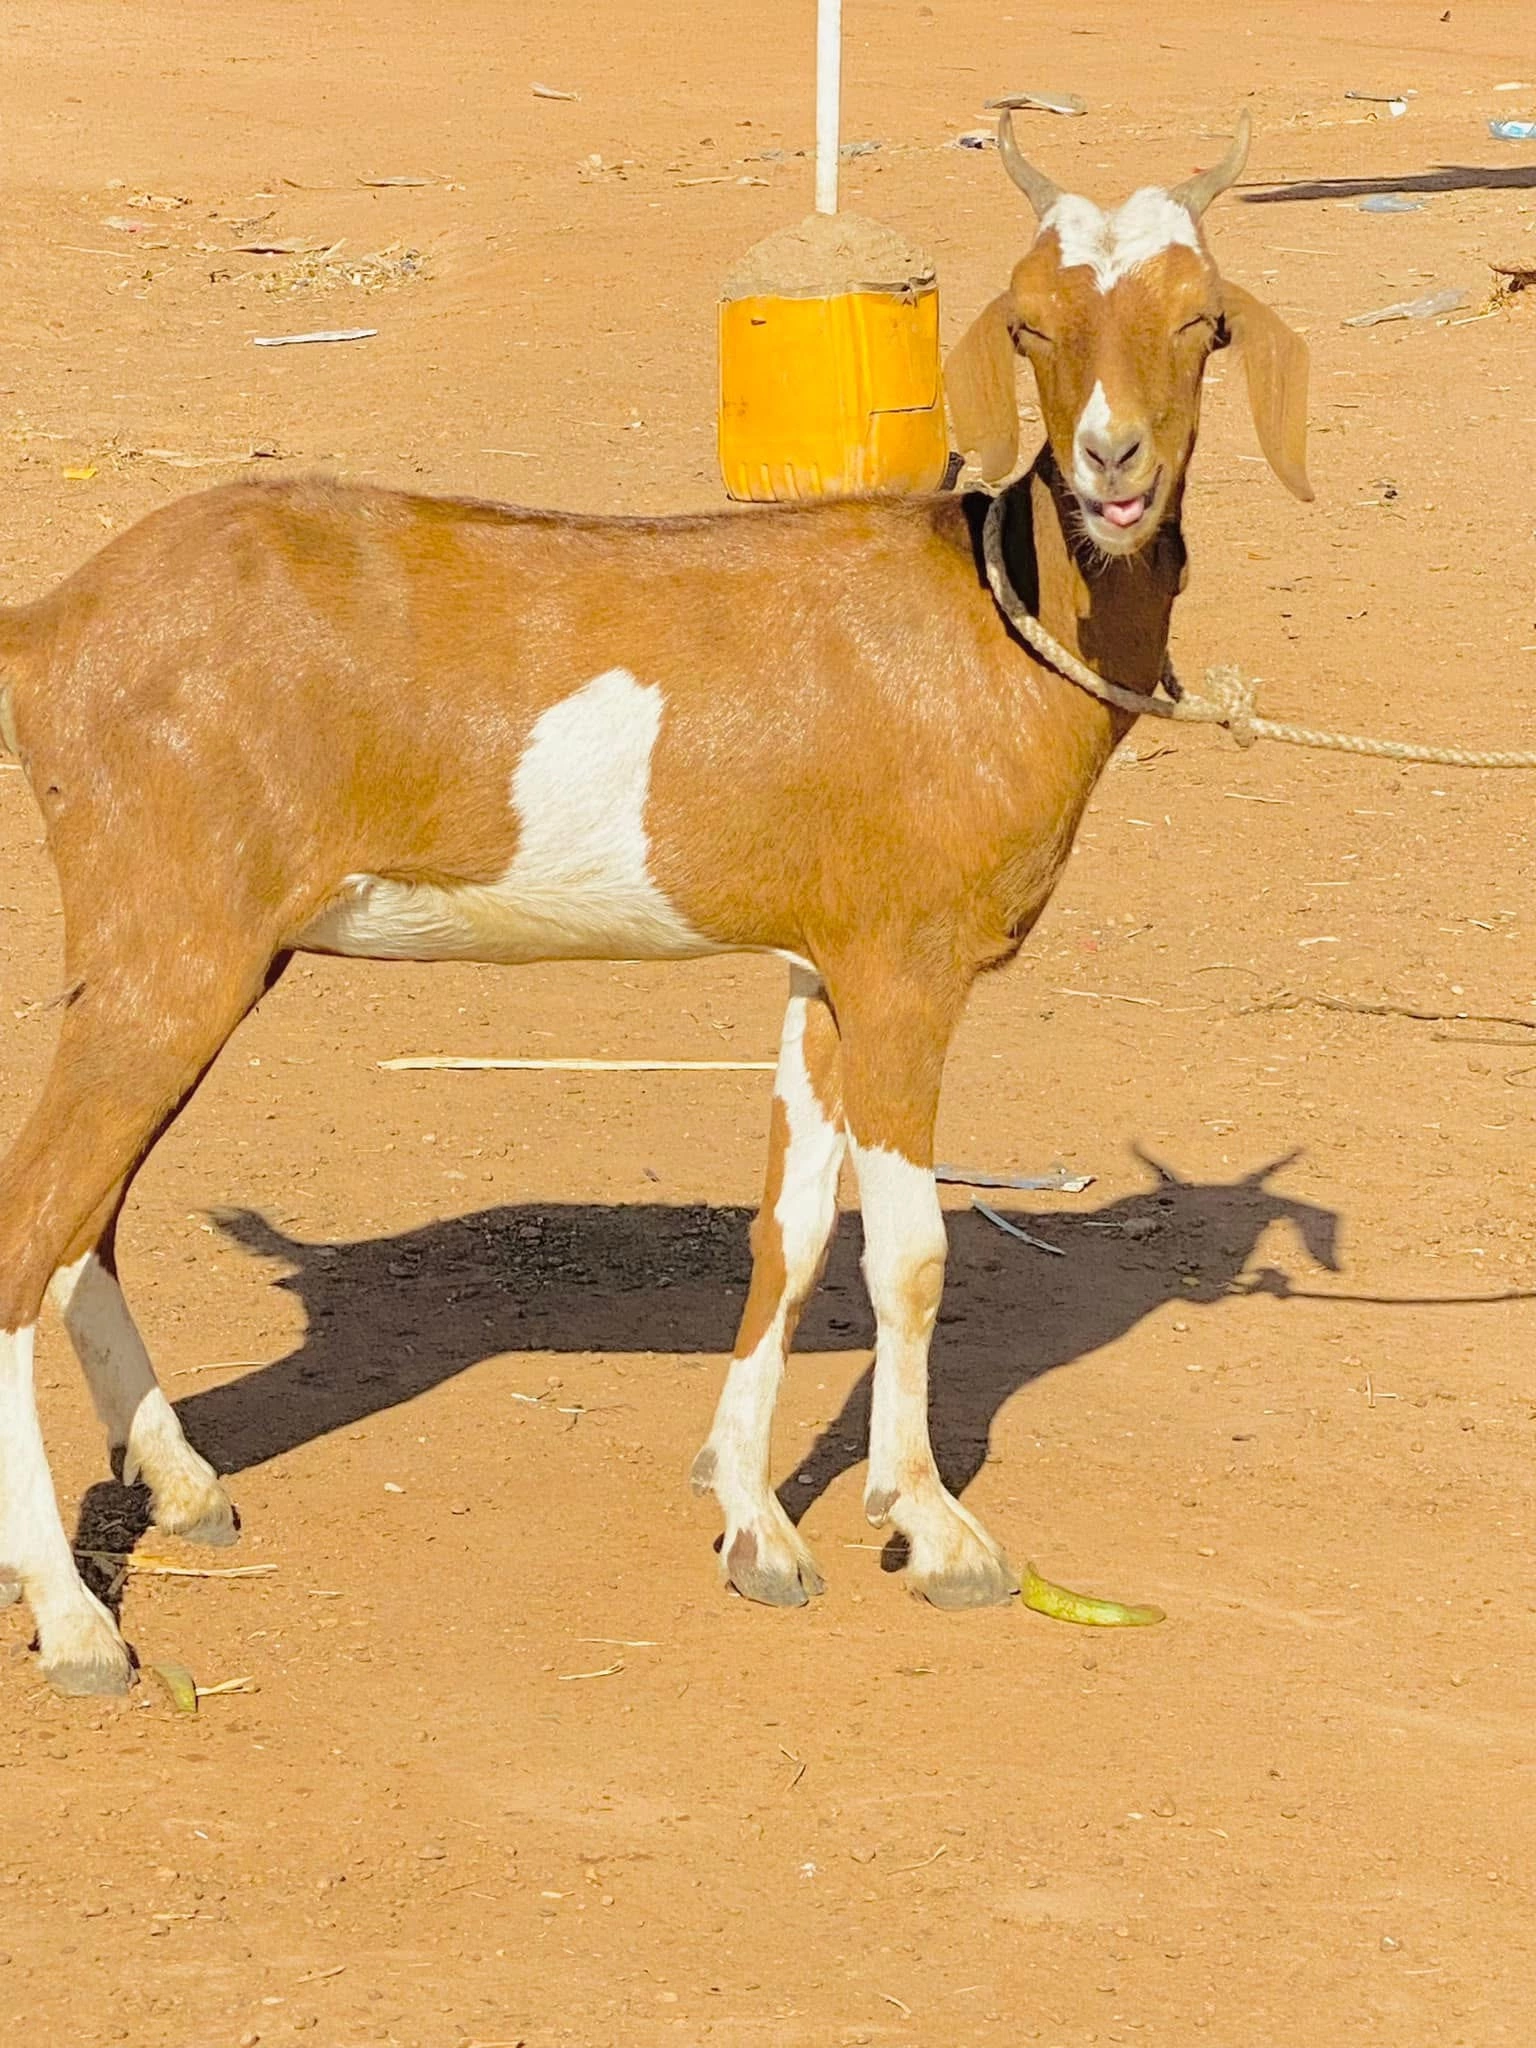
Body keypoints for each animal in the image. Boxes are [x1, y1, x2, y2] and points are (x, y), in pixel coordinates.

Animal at [0, 112, 1310, 1694]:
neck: (989, 619)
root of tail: (50, 624)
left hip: (190, 958)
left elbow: (792, 1233)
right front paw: (934, 1528)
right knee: (28, 1229)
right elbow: (915, 1256)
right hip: (169, 951)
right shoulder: (909, 968)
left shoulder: (824, 964)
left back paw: (183, 1486)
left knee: (87, 1222)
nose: (1114, 467)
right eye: (1032, 324)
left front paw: (754, 1519)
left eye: (1202, 320)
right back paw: (73, 1618)